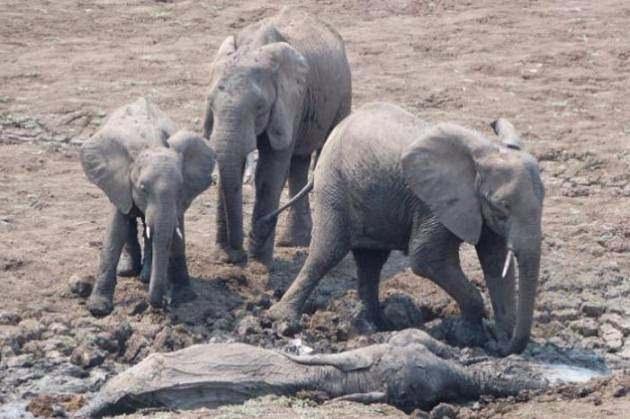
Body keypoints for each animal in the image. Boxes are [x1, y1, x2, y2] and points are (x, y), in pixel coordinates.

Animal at [81, 97, 216, 316]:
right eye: (142, 188)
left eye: (180, 188)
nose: (163, 304)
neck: (151, 143)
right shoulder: (121, 183)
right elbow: (115, 230)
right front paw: (98, 309)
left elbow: (177, 235)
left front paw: (185, 298)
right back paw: (128, 270)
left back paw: (145, 276)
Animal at [205, 6, 356, 268]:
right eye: (210, 103)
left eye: (260, 107)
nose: (239, 256)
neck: (253, 48)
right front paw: (225, 257)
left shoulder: (290, 101)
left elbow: (270, 169)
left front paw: (258, 262)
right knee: (299, 161)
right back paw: (292, 242)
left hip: (342, 94)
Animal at [270, 103, 544, 356]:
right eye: (501, 208)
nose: (501, 346)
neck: (486, 152)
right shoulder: (434, 204)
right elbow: (426, 259)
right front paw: (471, 338)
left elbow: (495, 263)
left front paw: (495, 338)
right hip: (333, 185)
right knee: (327, 253)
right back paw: (283, 321)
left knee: (370, 261)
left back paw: (374, 325)